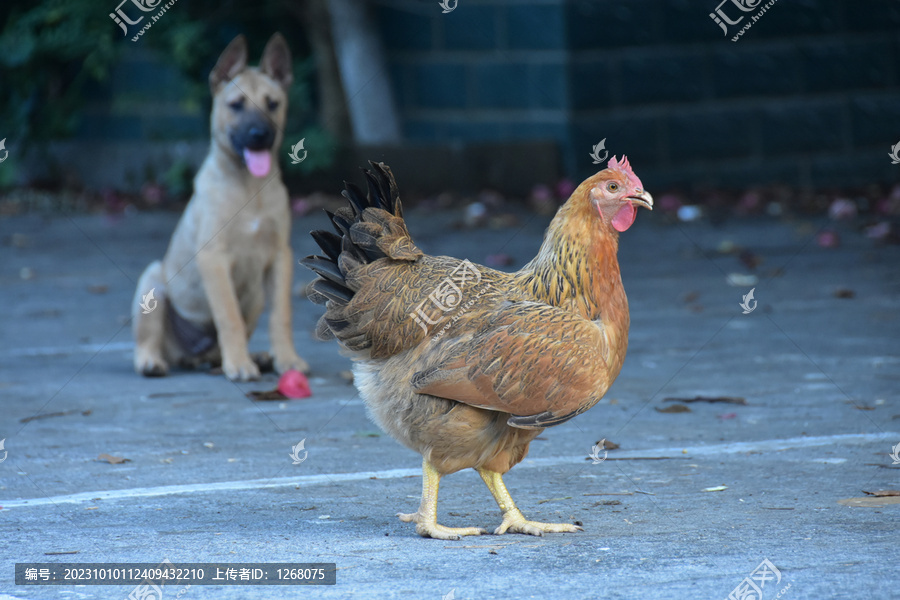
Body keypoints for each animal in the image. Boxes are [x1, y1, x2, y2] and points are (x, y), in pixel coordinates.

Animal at [132, 32, 310, 380]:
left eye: (273, 104)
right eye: (236, 105)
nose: (260, 135)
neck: (249, 187)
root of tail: (189, 355)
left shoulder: (280, 256)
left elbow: (281, 315)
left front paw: (287, 359)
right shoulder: (214, 258)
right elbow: (229, 316)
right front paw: (239, 365)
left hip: (255, 297)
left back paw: (255, 356)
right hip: (153, 281)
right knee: (148, 338)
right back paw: (152, 361)